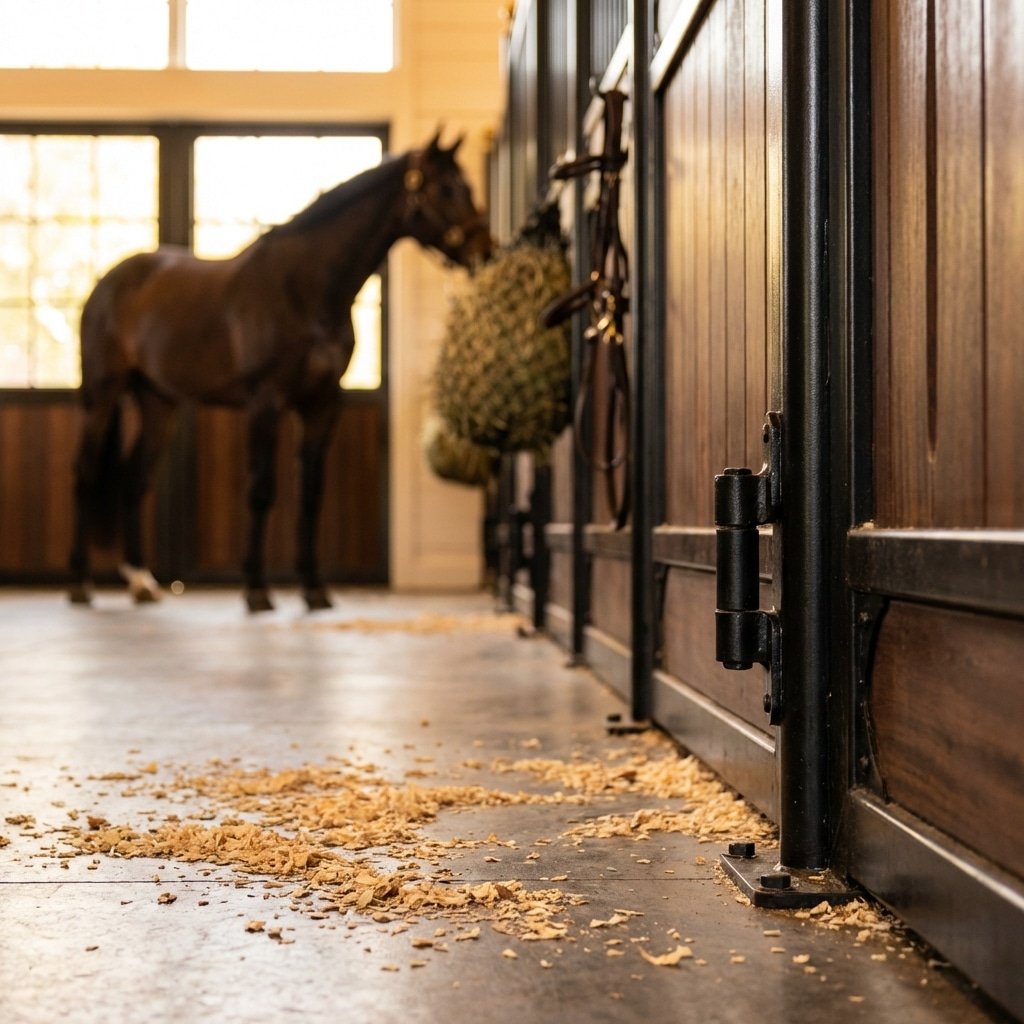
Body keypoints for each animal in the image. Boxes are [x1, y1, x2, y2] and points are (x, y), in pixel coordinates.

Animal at [68, 132, 491, 612]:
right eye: (446, 189)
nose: (485, 250)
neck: (303, 289)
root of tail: (109, 283)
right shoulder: (265, 401)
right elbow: (261, 489)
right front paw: (256, 589)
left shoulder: (322, 404)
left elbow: (310, 494)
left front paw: (314, 588)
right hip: (101, 395)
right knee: (85, 474)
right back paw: (80, 585)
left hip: (158, 403)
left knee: (134, 480)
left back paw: (142, 582)